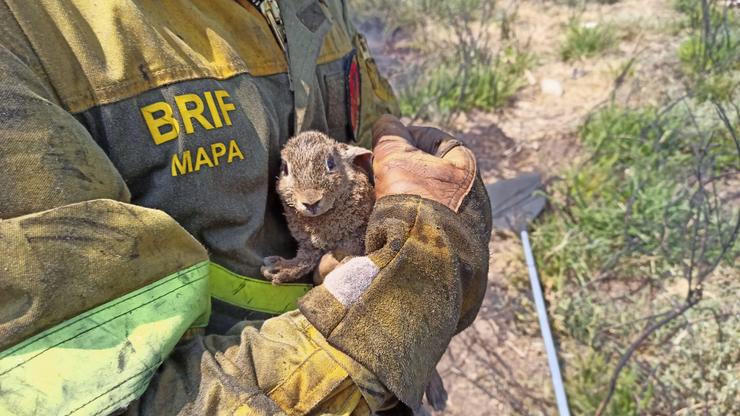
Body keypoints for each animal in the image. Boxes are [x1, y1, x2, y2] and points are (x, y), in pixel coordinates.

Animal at [262, 132, 376, 284]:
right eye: (285, 169)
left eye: (331, 163)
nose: (311, 202)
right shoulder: (309, 245)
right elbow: (305, 261)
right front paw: (278, 269)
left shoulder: (358, 235)